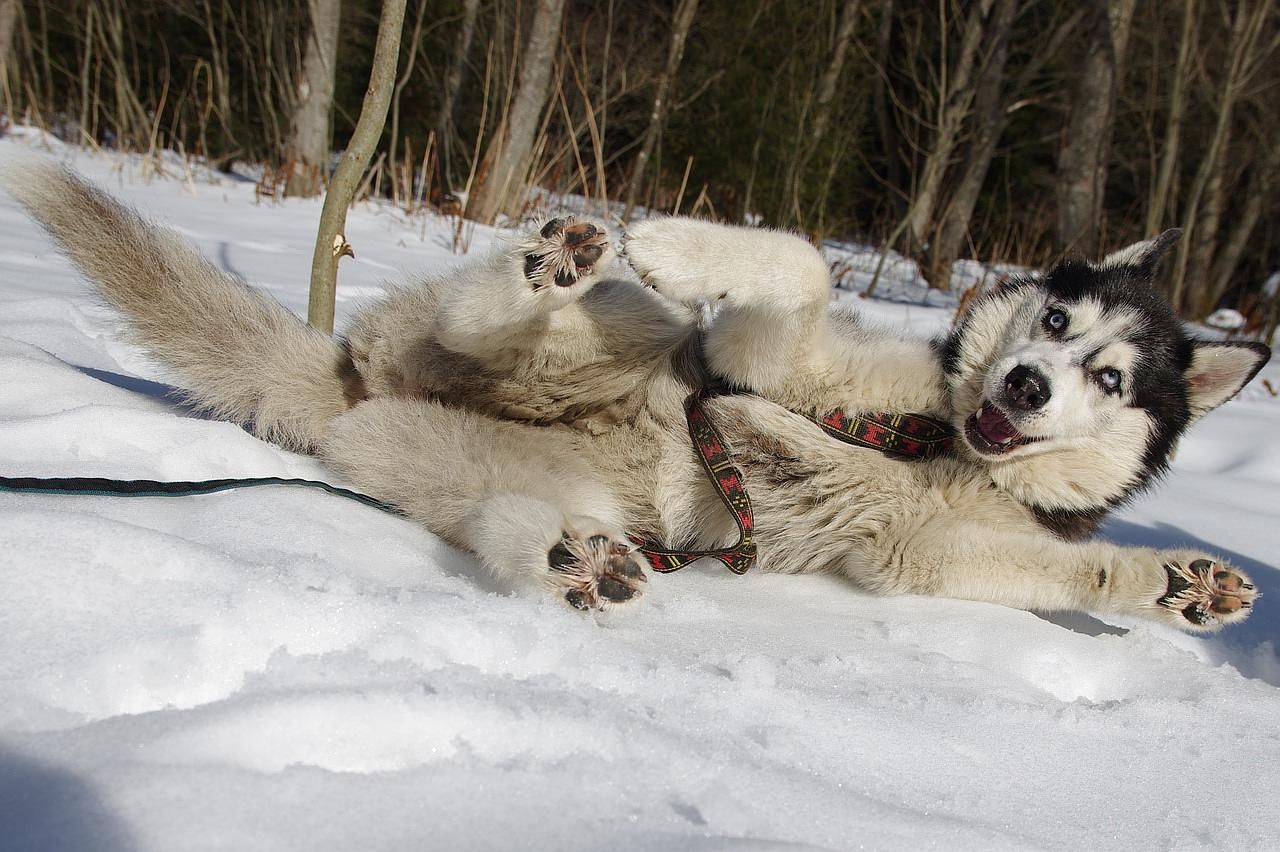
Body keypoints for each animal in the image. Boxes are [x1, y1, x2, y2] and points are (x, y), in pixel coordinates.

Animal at [5, 159, 1269, 626]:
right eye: (1053, 320)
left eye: (1107, 376)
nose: (1021, 381)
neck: (940, 441)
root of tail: (352, 388)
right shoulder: (763, 363)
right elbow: (798, 263)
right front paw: (677, 241)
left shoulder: (927, 554)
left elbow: (1076, 570)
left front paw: (1181, 583)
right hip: (600, 342)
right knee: (492, 323)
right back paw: (550, 271)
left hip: (482, 473)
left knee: (509, 521)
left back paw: (578, 558)